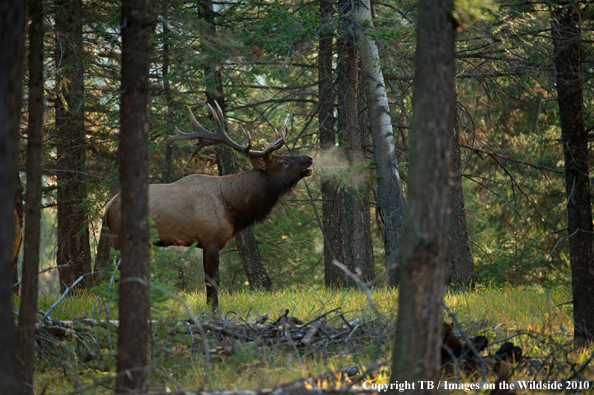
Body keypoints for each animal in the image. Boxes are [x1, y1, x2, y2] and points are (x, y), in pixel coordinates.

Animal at [103, 103, 312, 308]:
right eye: (282, 162)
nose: (309, 158)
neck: (232, 208)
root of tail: (107, 207)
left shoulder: (204, 242)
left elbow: (207, 281)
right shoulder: (210, 239)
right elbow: (214, 280)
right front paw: (213, 310)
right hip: (119, 239)